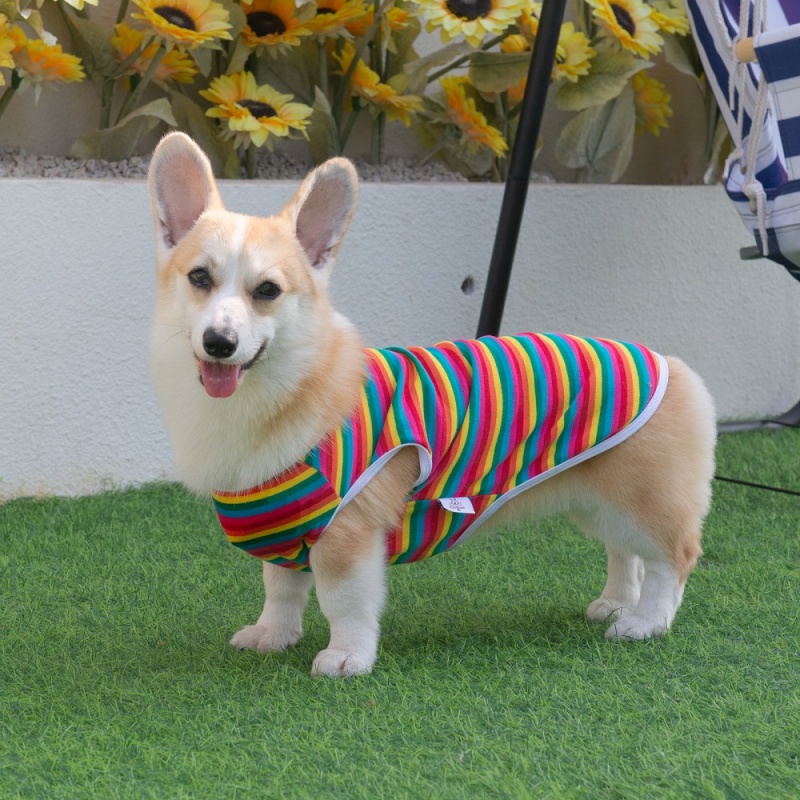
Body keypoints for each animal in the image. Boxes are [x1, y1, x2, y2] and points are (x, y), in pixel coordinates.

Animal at [147, 131, 716, 676]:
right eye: (199, 278)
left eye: (267, 290)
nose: (219, 342)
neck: (289, 385)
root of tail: (671, 364)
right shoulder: (287, 529)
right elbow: (280, 590)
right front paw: (273, 636)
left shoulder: (348, 532)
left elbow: (344, 603)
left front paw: (348, 658)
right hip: (596, 501)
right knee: (626, 553)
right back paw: (617, 604)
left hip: (643, 500)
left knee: (673, 558)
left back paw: (645, 622)